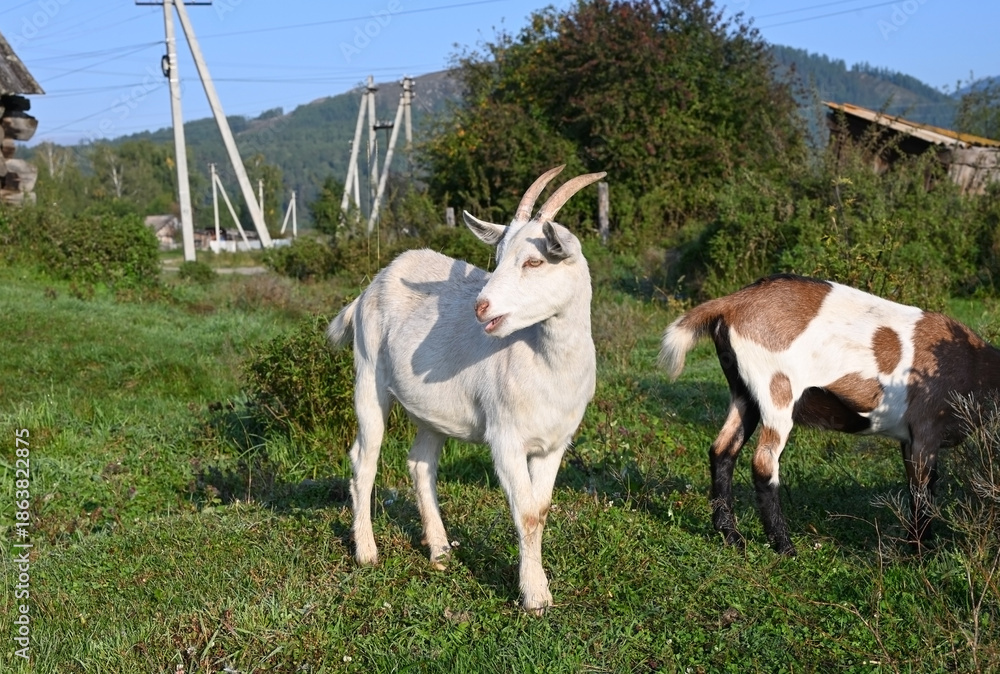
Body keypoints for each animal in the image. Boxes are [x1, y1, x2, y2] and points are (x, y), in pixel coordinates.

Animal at [327, 166, 605, 613]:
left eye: (534, 259)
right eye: (497, 257)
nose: (481, 306)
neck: (544, 361)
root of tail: (373, 284)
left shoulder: (554, 444)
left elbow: (541, 510)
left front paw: (536, 588)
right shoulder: (505, 437)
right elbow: (526, 513)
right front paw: (535, 596)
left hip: (432, 411)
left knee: (420, 462)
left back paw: (439, 550)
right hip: (368, 374)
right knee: (363, 459)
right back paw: (366, 551)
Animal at [659, 273, 1000, 555]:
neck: (974, 364)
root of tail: (731, 303)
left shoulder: (911, 439)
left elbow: (923, 487)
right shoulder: (925, 431)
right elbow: (921, 491)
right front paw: (919, 551)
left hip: (744, 394)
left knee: (722, 449)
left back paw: (731, 535)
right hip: (776, 391)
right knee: (764, 462)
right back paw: (783, 545)